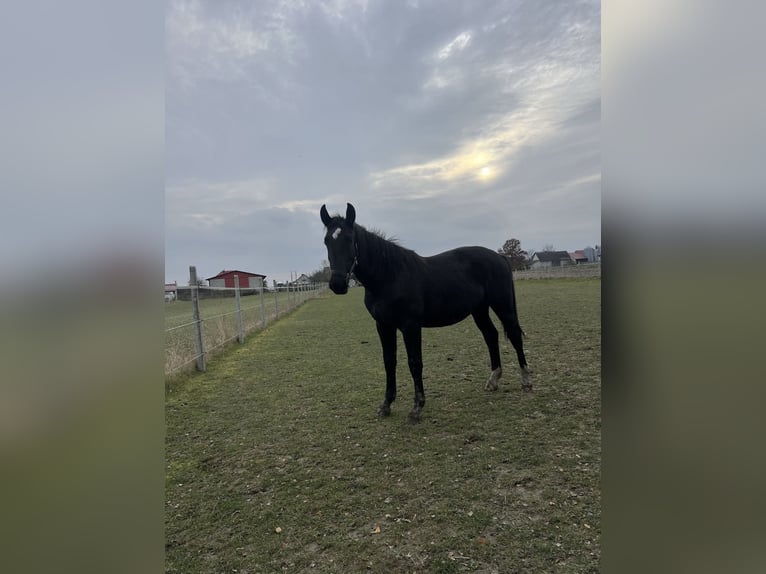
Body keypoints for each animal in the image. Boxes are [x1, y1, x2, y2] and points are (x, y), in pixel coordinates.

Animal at [320, 203, 532, 422]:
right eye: (326, 241)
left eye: (349, 239)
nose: (337, 284)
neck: (389, 276)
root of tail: (499, 257)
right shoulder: (384, 326)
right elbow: (389, 362)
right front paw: (386, 405)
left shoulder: (410, 326)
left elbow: (415, 363)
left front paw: (417, 408)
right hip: (479, 310)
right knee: (491, 335)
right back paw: (493, 380)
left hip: (503, 306)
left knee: (514, 335)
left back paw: (526, 381)